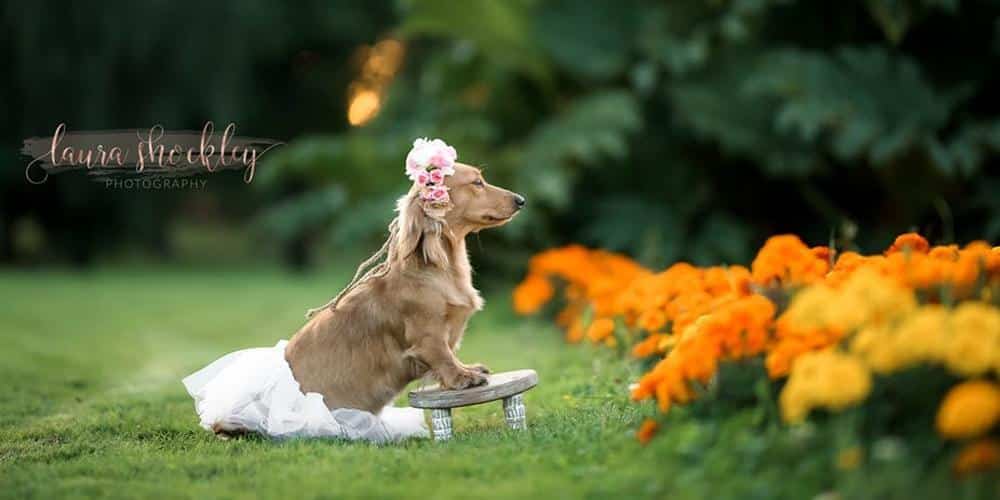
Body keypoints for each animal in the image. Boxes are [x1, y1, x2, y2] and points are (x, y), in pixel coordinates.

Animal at [284, 163, 524, 414]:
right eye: (477, 183)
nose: (521, 200)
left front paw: (469, 368)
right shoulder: (428, 336)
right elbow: (443, 356)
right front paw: (463, 377)